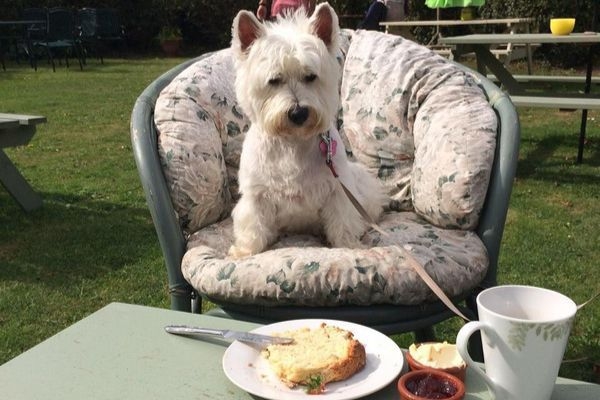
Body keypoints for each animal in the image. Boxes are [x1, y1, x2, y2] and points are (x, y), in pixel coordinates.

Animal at [227, 2, 386, 260]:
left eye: (311, 76)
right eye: (274, 80)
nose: (298, 113)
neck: (293, 142)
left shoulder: (337, 191)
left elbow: (342, 222)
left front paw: (349, 246)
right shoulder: (256, 195)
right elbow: (253, 225)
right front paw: (244, 251)